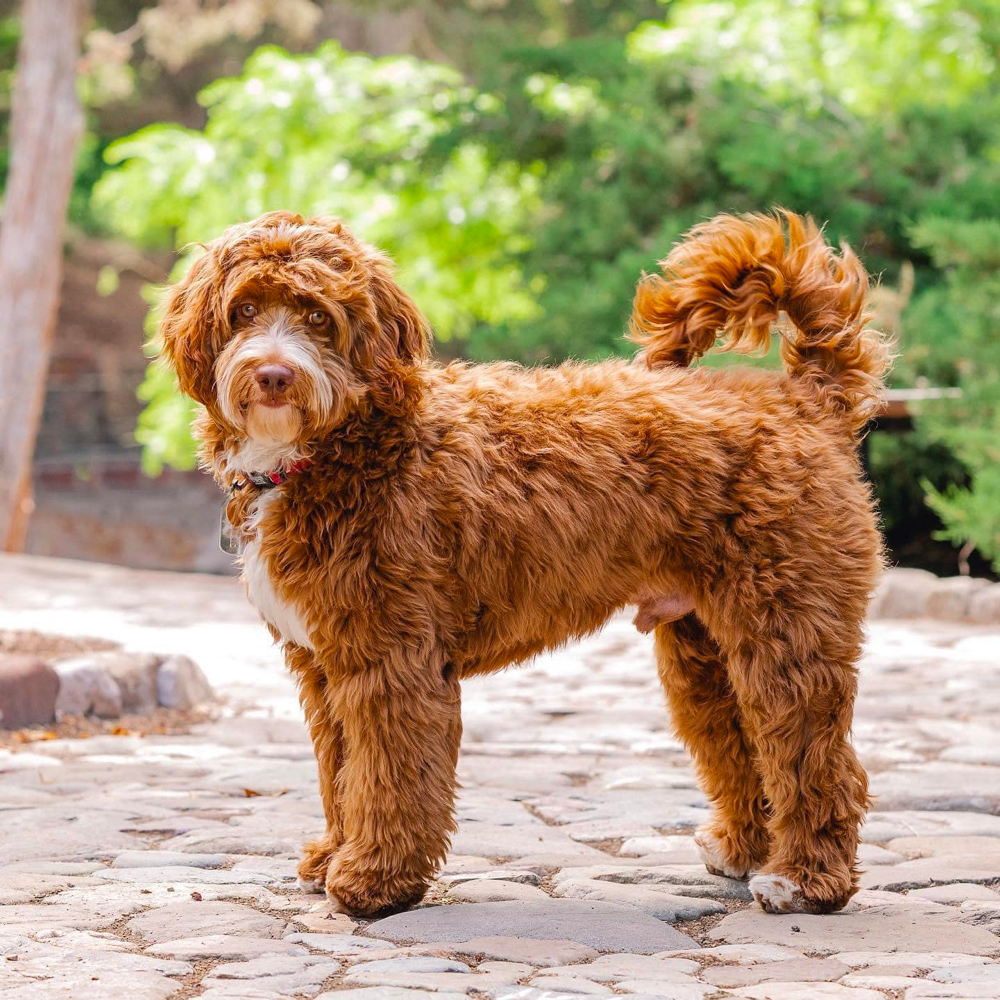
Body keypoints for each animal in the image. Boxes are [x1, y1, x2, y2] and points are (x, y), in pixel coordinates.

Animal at [158, 207, 892, 916]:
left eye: (318, 317)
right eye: (244, 311)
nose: (274, 375)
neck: (352, 447)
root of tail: (804, 398)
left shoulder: (389, 660)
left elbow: (386, 773)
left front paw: (373, 880)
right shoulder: (323, 665)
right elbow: (341, 772)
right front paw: (333, 858)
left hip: (786, 631)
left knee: (818, 758)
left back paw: (805, 882)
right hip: (704, 652)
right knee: (744, 746)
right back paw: (744, 851)